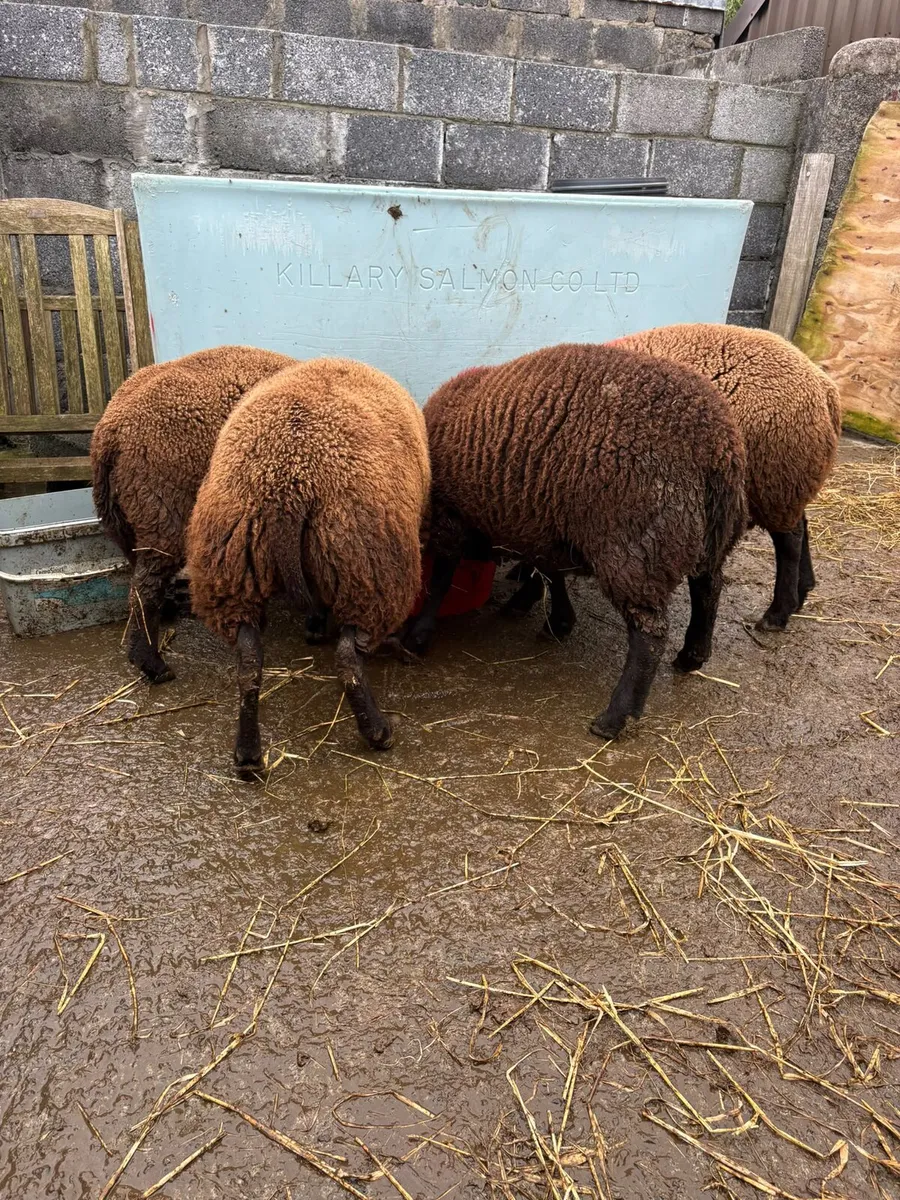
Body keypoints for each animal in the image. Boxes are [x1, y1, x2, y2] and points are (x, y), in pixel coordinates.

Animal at [91, 346, 295, 684]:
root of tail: (110, 430)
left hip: (123, 516)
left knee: (140, 572)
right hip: (161, 506)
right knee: (144, 587)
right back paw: (152, 663)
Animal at [185, 357, 430, 772]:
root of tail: (287, 486)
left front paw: (314, 626)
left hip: (232, 569)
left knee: (248, 662)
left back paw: (248, 755)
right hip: (368, 565)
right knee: (348, 659)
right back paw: (378, 732)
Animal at [405, 343, 748, 740]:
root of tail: (715, 445)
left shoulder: (453, 518)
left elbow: (442, 580)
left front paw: (418, 635)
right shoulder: (544, 522)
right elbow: (550, 573)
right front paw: (556, 619)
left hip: (635, 550)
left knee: (650, 634)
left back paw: (614, 717)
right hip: (709, 536)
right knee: (709, 587)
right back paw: (693, 654)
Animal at [508, 325, 841, 635]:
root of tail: (823, 387)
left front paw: (524, 599)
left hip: (776, 479)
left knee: (790, 541)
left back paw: (778, 612)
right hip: (787, 482)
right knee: (802, 526)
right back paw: (803, 590)